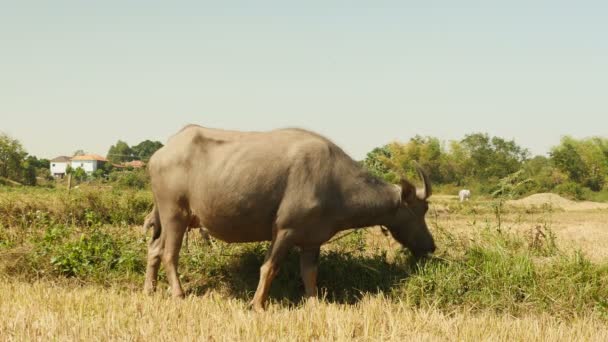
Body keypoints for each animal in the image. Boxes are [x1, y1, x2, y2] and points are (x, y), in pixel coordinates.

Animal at [145, 125, 434, 310]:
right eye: (420, 211)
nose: (431, 246)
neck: (335, 183)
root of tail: (163, 151)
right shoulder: (284, 231)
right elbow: (269, 268)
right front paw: (257, 304)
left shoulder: (312, 241)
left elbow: (310, 275)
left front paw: (314, 303)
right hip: (175, 215)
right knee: (170, 254)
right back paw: (178, 293)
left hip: (168, 218)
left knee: (154, 249)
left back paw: (150, 289)